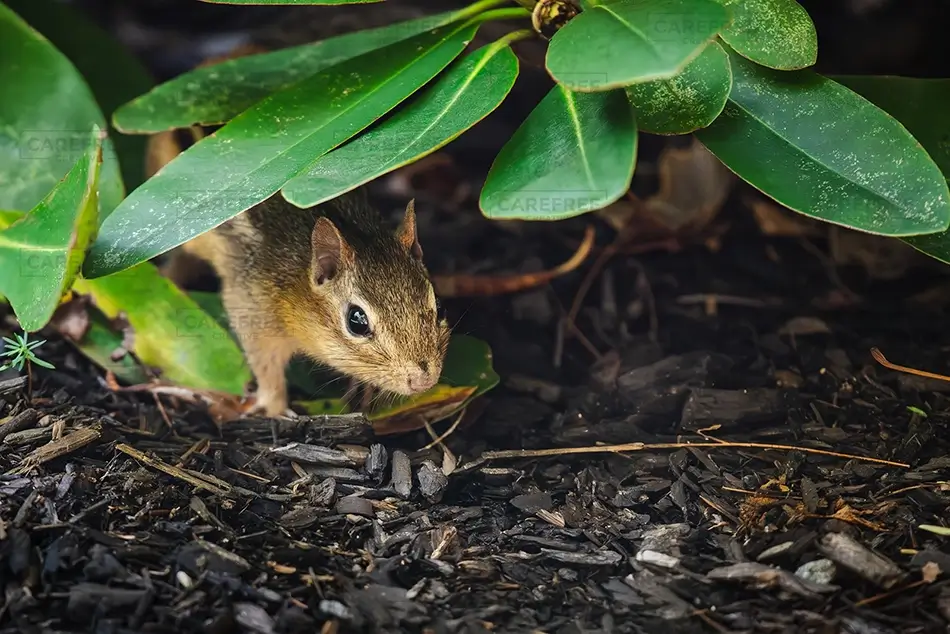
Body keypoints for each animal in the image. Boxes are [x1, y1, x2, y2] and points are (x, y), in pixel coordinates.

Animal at [169, 189, 451, 418]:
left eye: (439, 306)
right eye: (356, 321)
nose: (424, 381)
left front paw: (364, 387)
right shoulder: (252, 311)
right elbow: (266, 368)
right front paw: (274, 407)